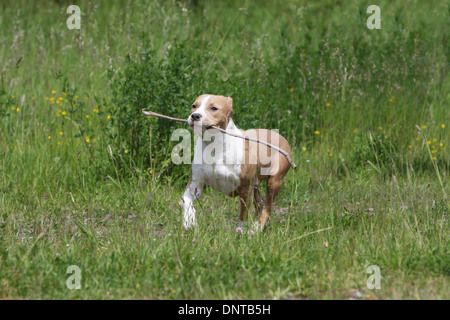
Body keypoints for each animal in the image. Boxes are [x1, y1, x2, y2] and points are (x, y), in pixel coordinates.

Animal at [181, 94, 294, 231]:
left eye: (214, 108)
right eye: (194, 106)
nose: (195, 116)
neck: (215, 146)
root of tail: (279, 135)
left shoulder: (245, 189)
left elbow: (243, 214)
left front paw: (241, 231)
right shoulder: (196, 184)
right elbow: (186, 200)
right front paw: (189, 221)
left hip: (274, 181)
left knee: (268, 206)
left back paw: (257, 227)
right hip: (256, 186)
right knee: (260, 203)